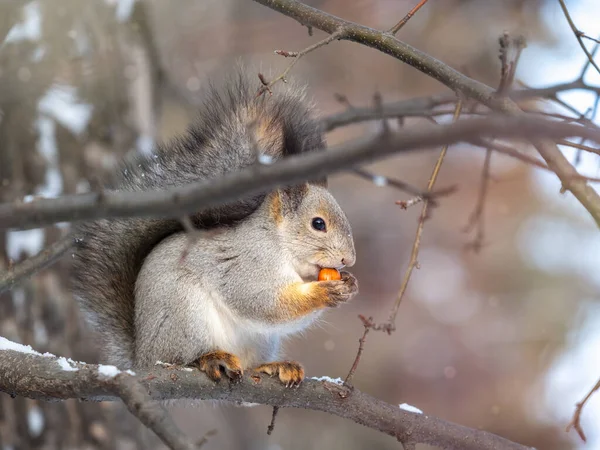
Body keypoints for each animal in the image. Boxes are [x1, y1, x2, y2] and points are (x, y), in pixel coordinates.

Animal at [72, 68, 358, 384]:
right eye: (318, 224)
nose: (349, 260)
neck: (279, 246)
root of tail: (143, 357)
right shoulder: (247, 267)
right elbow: (263, 303)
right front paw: (324, 293)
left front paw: (349, 285)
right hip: (185, 315)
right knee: (184, 357)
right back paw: (210, 358)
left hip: (259, 340)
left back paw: (273, 366)